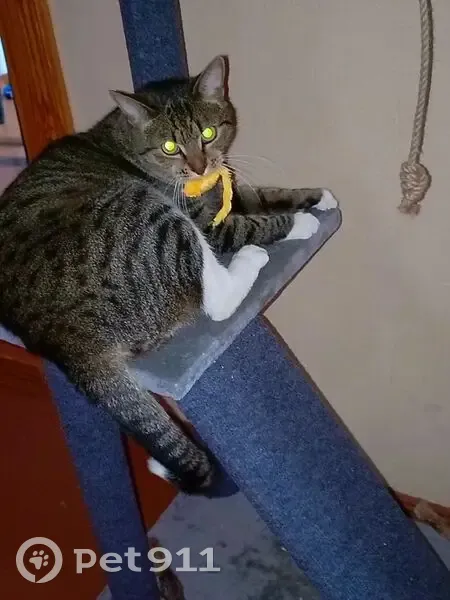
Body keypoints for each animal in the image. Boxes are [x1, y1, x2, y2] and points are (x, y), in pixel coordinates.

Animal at [0, 56, 337, 494]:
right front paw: (300, 221)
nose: (199, 166)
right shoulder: (207, 222)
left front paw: (319, 197)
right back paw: (253, 258)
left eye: (209, 134)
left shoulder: (226, 191)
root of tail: (59, 338)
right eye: (170, 147)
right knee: (216, 299)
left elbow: (260, 194)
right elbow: (251, 222)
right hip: (148, 214)